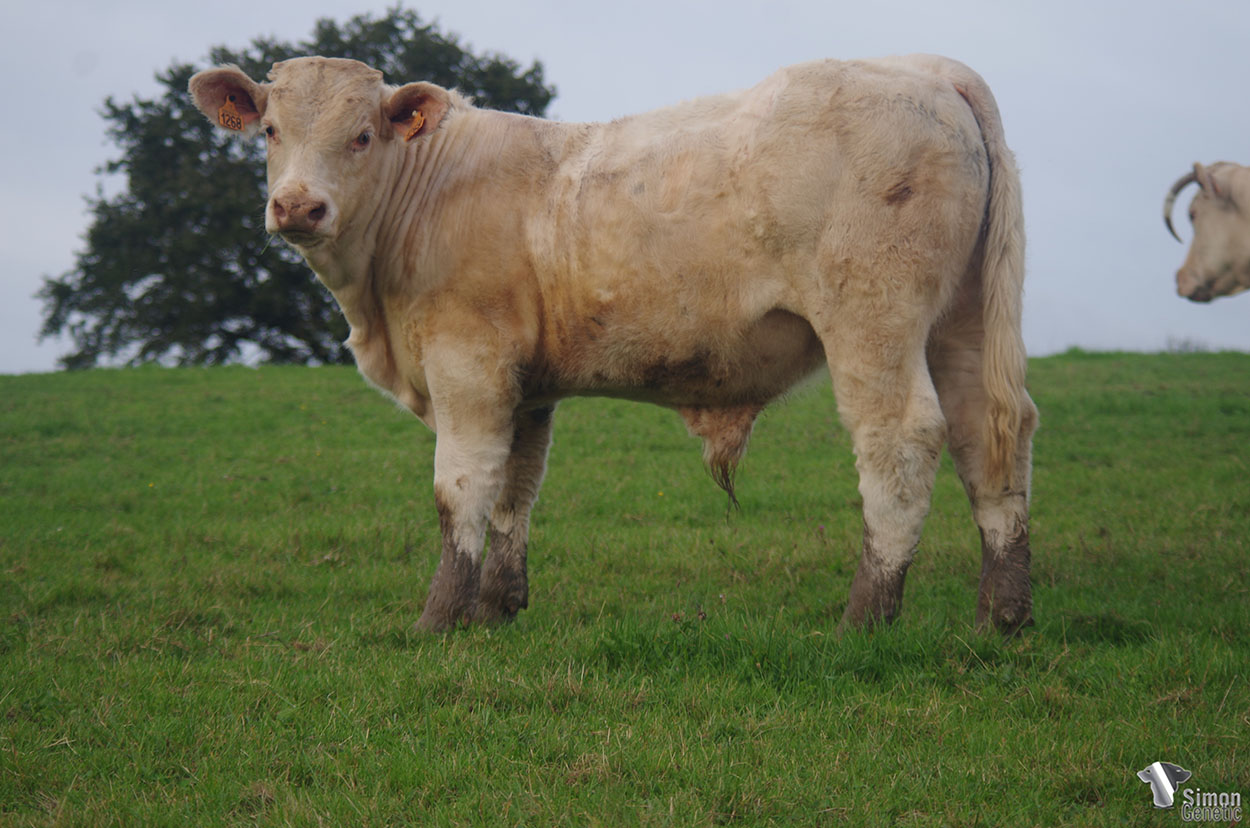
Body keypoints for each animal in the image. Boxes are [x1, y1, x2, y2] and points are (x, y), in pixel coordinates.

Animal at [189, 54, 1038, 635]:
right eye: (270, 131)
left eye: (362, 135)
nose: (298, 206)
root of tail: (926, 68)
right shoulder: (525, 388)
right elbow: (515, 488)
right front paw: (497, 608)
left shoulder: (469, 365)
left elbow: (459, 487)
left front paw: (438, 618)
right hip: (961, 323)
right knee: (991, 435)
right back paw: (1002, 615)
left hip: (873, 319)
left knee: (900, 442)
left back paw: (865, 616)